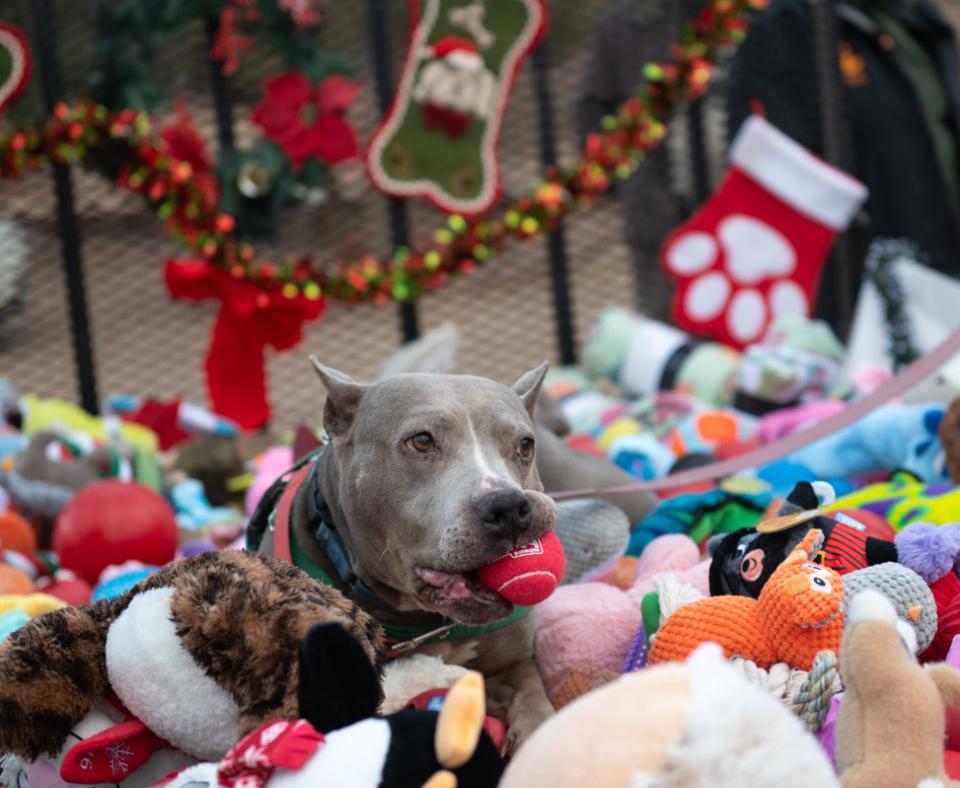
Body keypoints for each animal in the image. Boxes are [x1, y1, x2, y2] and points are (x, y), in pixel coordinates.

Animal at [258, 356, 560, 752]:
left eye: (525, 445)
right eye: (421, 440)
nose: (508, 506)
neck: (424, 624)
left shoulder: (512, 665)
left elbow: (533, 695)